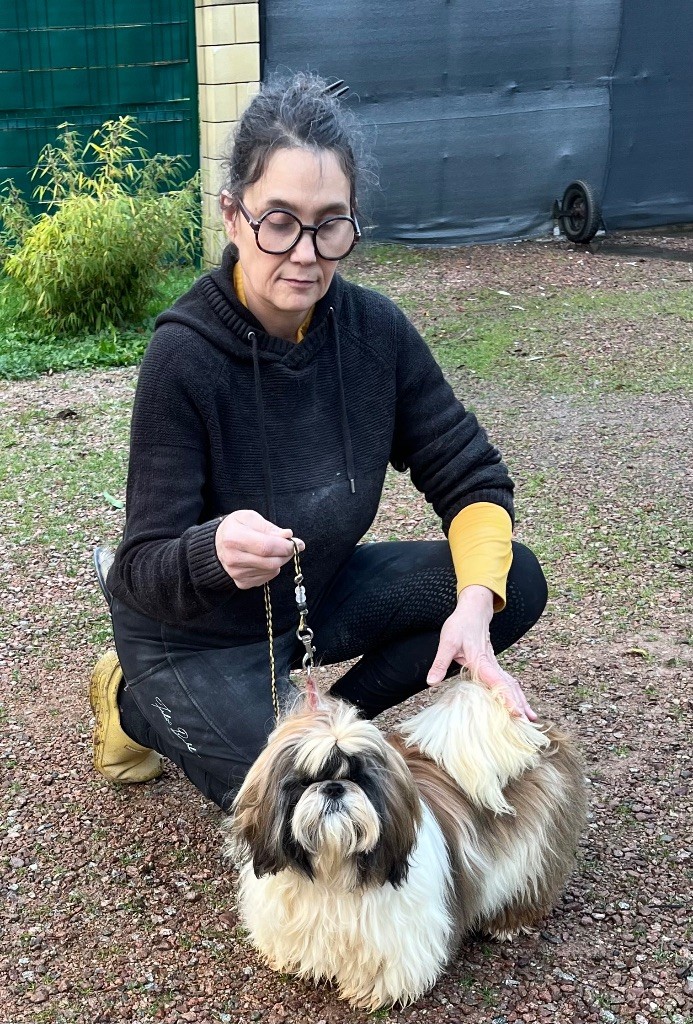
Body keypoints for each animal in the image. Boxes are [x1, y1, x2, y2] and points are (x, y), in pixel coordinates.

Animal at [224, 679, 585, 1007]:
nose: (334, 787)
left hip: (532, 850)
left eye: (359, 778)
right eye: (304, 782)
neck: (333, 864)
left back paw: (508, 923)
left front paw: (372, 992)